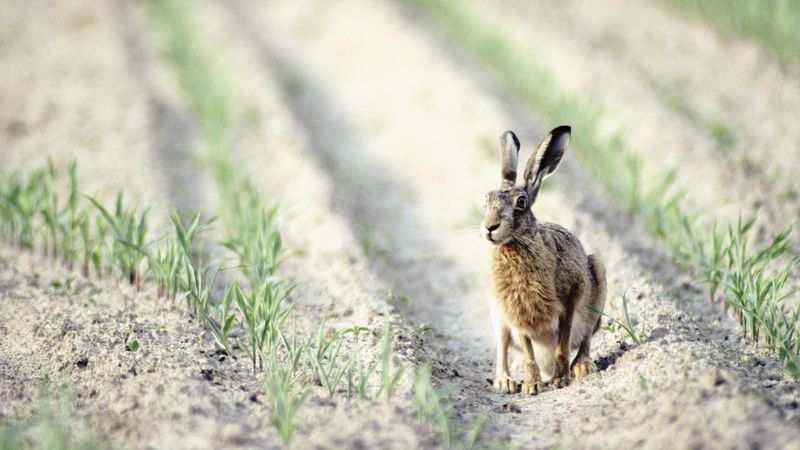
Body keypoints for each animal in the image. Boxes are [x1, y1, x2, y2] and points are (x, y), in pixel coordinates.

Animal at [480, 125, 606, 395]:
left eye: (521, 203)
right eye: (486, 200)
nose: (489, 227)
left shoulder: (570, 297)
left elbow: (563, 343)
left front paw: (560, 380)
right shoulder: (517, 313)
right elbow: (528, 352)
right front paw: (532, 386)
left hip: (598, 278)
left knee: (585, 339)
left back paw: (581, 368)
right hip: (497, 313)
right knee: (502, 349)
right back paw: (505, 382)